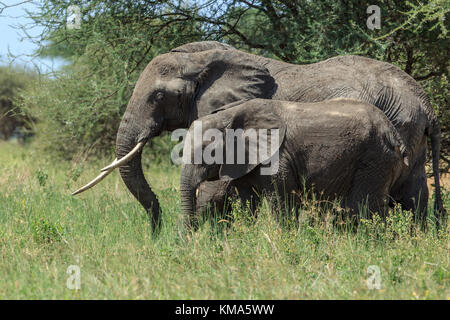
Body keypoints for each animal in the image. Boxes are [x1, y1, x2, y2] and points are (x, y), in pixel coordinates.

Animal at [180, 97, 408, 225]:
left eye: (207, 151)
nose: (190, 239)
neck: (229, 114)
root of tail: (394, 133)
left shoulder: (278, 158)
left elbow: (282, 202)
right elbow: (246, 203)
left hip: (374, 158)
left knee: (362, 207)